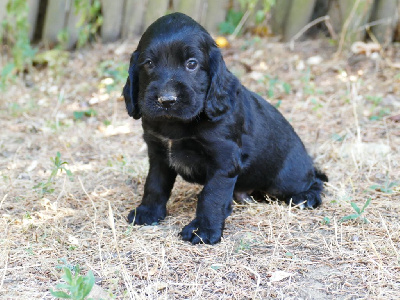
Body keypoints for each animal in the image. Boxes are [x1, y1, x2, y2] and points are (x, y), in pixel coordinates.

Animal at [122, 12, 328, 245]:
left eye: (192, 64)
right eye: (148, 63)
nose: (166, 100)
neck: (176, 124)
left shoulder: (224, 161)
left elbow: (212, 196)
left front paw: (203, 230)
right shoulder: (158, 154)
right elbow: (154, 184)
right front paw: (148, 212)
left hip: (285, 180)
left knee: (315, 181)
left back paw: (306, 197)